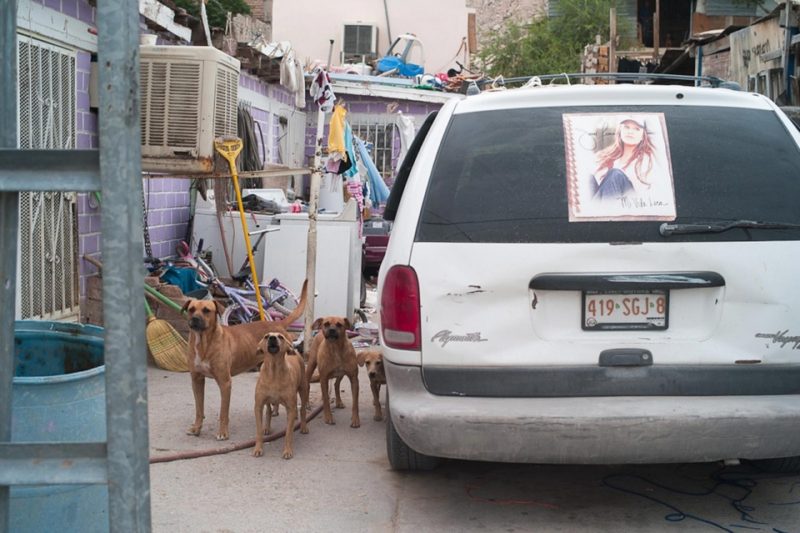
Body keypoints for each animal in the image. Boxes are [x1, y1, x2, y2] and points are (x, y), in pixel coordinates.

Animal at [183, 280, 308, 438]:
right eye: (191, 309)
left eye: (206, 310)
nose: (194, 319)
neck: (204, 343)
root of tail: (277, 323)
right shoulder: (197, 380)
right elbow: (199, 409)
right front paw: (197, 428)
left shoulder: (225, 383)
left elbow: (223, 412)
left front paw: (223, 432)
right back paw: (274, 411)